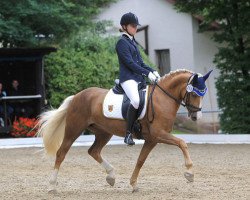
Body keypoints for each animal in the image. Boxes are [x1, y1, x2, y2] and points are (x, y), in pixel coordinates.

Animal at [38, 69, 212, 192]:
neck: (162, 98)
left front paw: (133, 184)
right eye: (194, 93)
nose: (196, 116)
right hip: (74, 129)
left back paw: (111, 176)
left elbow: (141, 160)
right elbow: (182, 143)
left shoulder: (152, 139)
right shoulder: (159, 134)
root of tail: (77, 96)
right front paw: (189, 173)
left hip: (103, 132)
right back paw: (52, 186)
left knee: (94, 151)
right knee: (61, 153)